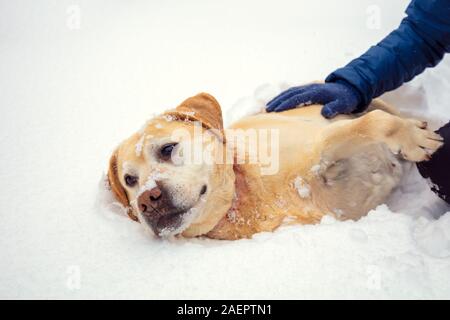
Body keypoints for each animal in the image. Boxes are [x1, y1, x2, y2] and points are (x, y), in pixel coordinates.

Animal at [108, 91, 442, 239]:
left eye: (167, 149)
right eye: (130, 181)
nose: (147, 200)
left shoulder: (319, 141)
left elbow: (374, 123)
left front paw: (412, 137)